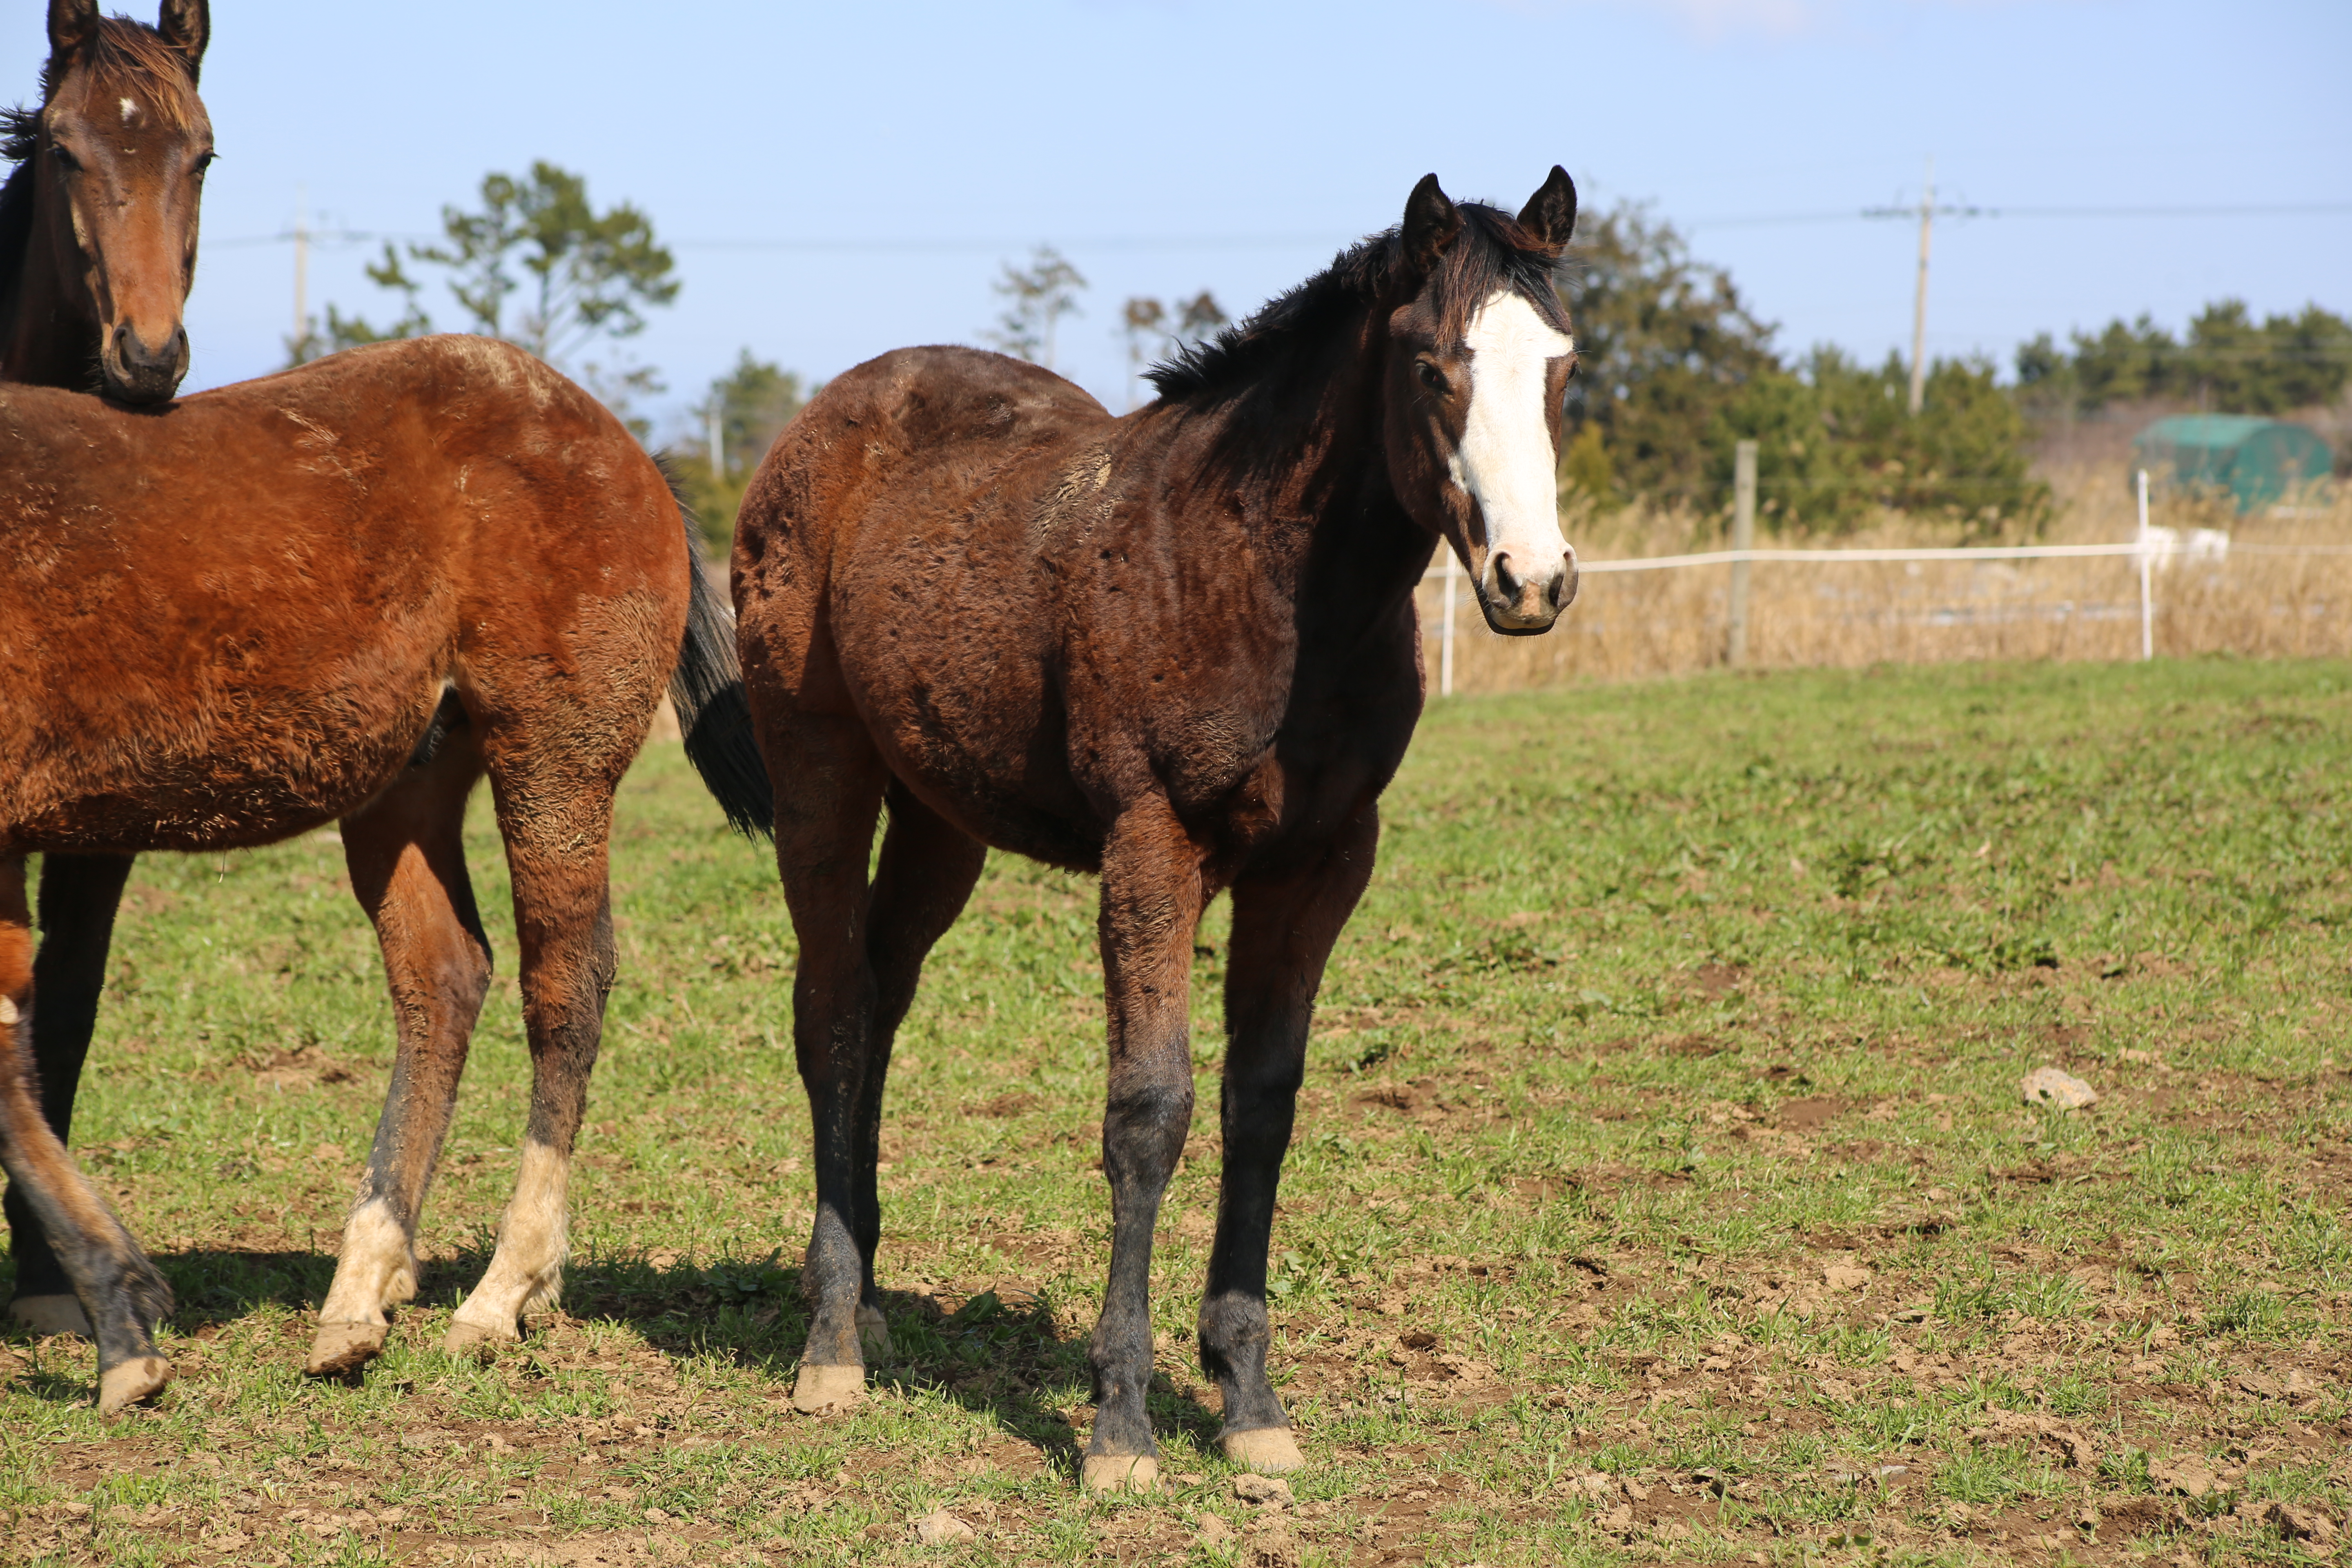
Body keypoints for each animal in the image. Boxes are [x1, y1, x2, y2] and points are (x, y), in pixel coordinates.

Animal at [2, 339, 771, 1420]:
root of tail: (624, 448)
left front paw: (124, 1329)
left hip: (554, 762)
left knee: (563, 987)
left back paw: (506, 1288)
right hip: (404, 792)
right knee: (443, 979)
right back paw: (363, 1288)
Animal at [734, 165, 1580, 1495]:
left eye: (1563, 366)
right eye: (1433, 367)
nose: (1530, 580)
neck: (1264, 578)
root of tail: (819, 424)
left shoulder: (1321, 864)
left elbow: (1261, 1103)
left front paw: (1249, 1400)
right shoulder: (1152, 847)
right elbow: (1150, 1111)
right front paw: (1120, 1423)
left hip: (940, 820)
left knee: (878, 1001)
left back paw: (865, 1296)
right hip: (822, 774)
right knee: (831, 1016)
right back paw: (830, 1343)